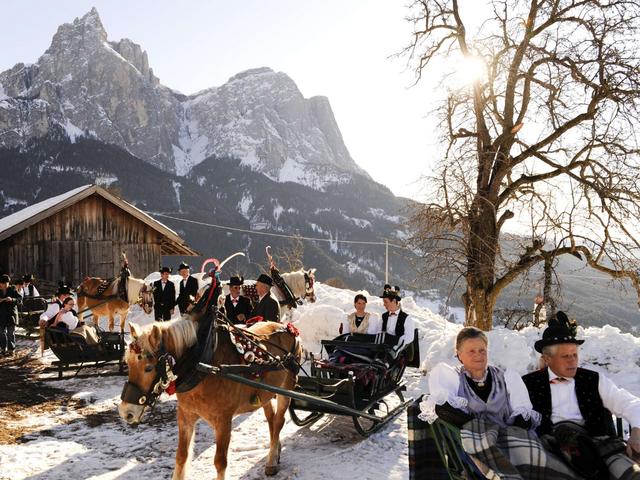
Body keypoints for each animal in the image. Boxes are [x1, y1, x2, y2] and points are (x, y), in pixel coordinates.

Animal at [119, 318, 302, 480]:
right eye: (128, 363)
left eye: (148, 368)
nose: (126, 412)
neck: (201, 366)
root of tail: (287, 327)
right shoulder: (185, 416)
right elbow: (181, 457)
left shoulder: (223, 421)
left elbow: (220, 462)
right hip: (265, 393)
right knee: (271, 420)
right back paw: (275, 451)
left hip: (286, 388)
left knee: (278, 421)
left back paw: (271, 460)